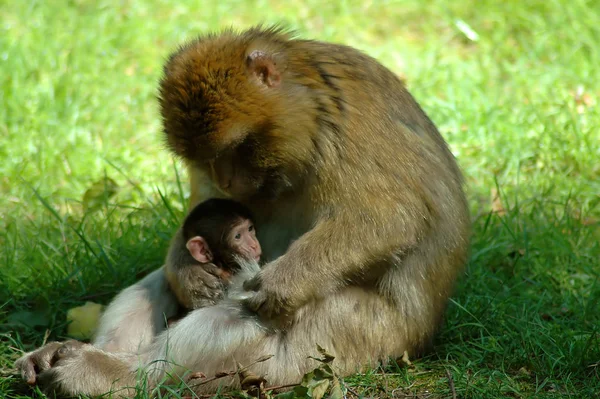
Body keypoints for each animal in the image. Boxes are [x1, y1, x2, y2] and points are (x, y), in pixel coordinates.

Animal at [16, 26, 472, 398]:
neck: (313, 114)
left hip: (358, 336)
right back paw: (76, 352)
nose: (226, 179)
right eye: (204, 159)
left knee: (243, 319)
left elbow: (392, 217)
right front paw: (188, 267)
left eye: (238, 148)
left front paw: (284, 283)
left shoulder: (354, 125)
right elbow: (199, 215)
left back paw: (116, 374)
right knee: (156, 285)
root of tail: (417, 342)